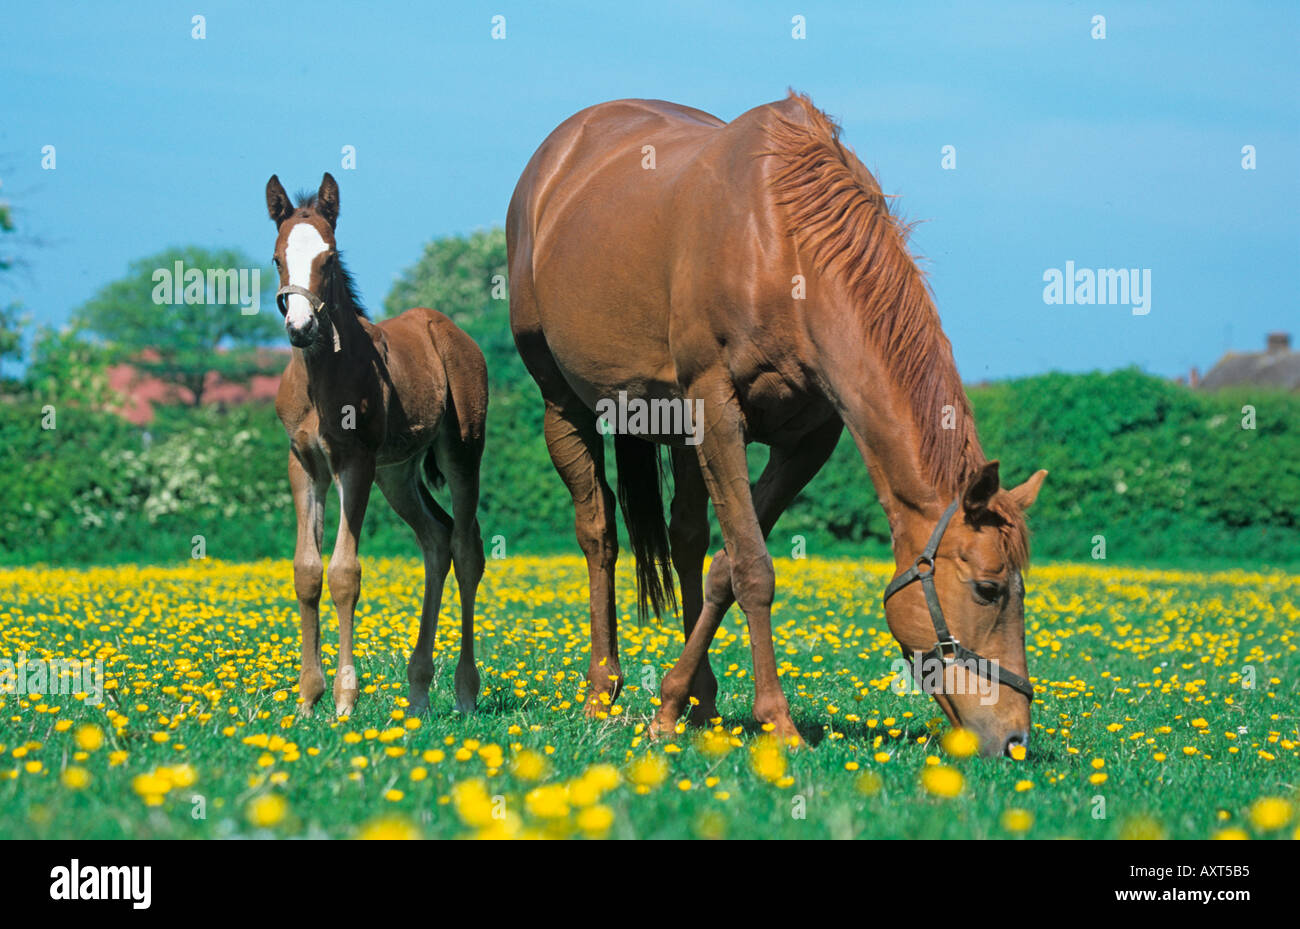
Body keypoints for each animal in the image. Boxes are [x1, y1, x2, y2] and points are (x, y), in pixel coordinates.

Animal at [266, 172, 488, 719]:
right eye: (278, 258)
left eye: (328, 258)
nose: (300, 328)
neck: (321, 379)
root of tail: (451, 331)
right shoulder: (304, 465)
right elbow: (307, 571)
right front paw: (307, 700)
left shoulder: (355, 463)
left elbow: (345, 572)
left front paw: (344, 700)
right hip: (398, 474)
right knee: (436, 540)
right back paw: (419, 692)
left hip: (462, 453)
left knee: (465, 547)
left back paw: (465, 692)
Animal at [507, 93, 1047, 756]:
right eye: (988, 589)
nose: (1015, 738)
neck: (783, 246)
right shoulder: (717, 409)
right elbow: (755, 570)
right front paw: (778, 722)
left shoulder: (806, 441)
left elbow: (726, 565)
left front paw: (672, 704)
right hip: (565, 406)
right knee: (598, 533)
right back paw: (600, 693)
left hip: (676, 425)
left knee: (687, 538)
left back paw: (701, 703)